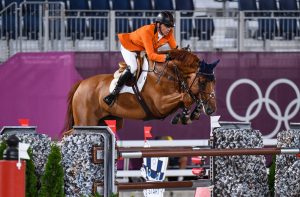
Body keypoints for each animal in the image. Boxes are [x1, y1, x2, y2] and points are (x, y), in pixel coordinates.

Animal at [63, 48, 218, 134]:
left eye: (214, 82)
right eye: (203, 82)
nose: (212, 109)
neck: (171, 72)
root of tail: (81, 84)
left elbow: (188, 98)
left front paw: (191, 114)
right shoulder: (160, 105)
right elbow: (186, 98)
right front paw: (184, 116)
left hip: (104, 122)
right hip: (85, 122)